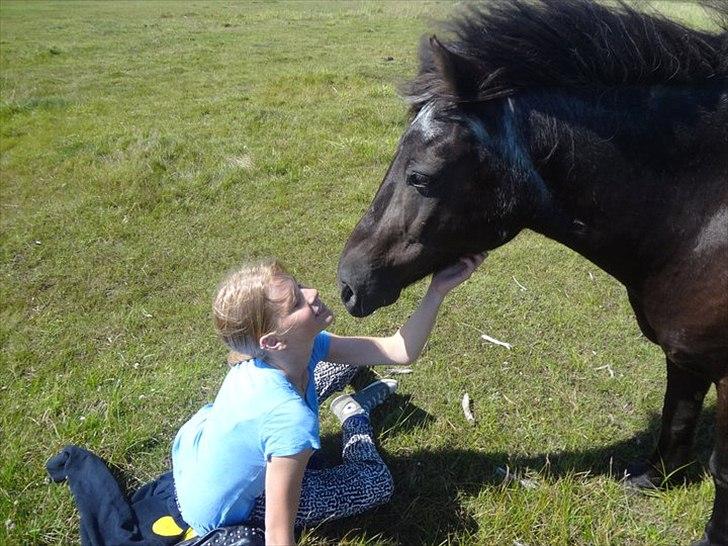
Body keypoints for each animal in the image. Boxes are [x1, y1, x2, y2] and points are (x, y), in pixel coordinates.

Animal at [336, 2, 728, 540]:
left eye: (420, 177)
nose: (348, 282)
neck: (699, 218)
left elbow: (720, 467)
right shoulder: (685, 353)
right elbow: (678, 414)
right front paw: (655, 479)